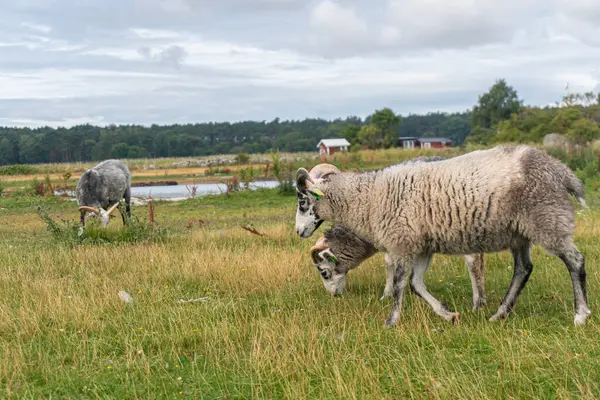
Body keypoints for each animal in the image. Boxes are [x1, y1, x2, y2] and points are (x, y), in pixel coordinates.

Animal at [310, 223, 488, 310]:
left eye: (324, 273)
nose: (333, 295)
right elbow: (390, 262)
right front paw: (388, 294)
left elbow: (390, 262)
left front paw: (387, 294)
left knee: (472, 259)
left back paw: (477, 303)